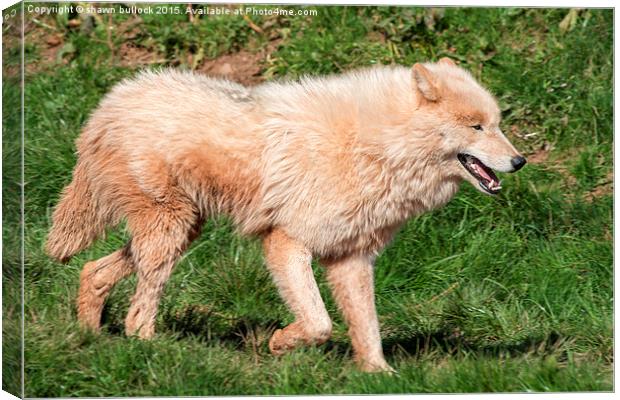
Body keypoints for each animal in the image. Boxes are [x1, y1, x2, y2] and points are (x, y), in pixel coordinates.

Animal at [46, 57, 524, 374]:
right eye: (477, 127)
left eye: (497, 124)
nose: (519, 162)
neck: (379, 146)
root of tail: (110, 103)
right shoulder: (285, 242)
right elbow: (319, 323)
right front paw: (278, 344)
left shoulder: (351, 258)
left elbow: (366, 328)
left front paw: (379, 376)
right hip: (170, 230)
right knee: (137, 310)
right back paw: (147, 347)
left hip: (181, 231)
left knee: (93, 271)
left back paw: (90, 338)